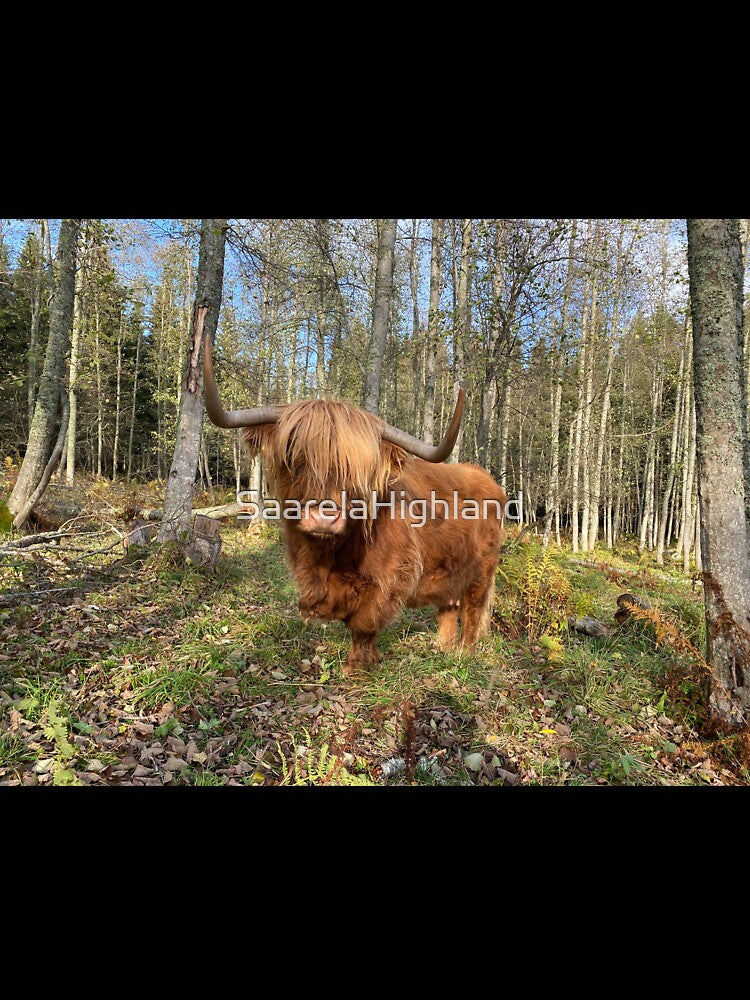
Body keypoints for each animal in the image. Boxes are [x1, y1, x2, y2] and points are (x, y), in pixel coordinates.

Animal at [203, 338, 507, 676]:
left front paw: (357, 667)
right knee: (449, 605)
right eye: (293, 454)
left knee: (472, 608)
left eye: (359, 468)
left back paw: (464, 654)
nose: (323, 517)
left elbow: (363, 623)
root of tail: (487, 480)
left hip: (482, 568)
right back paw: (441, 647)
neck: (327, 558)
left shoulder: (390, 578)